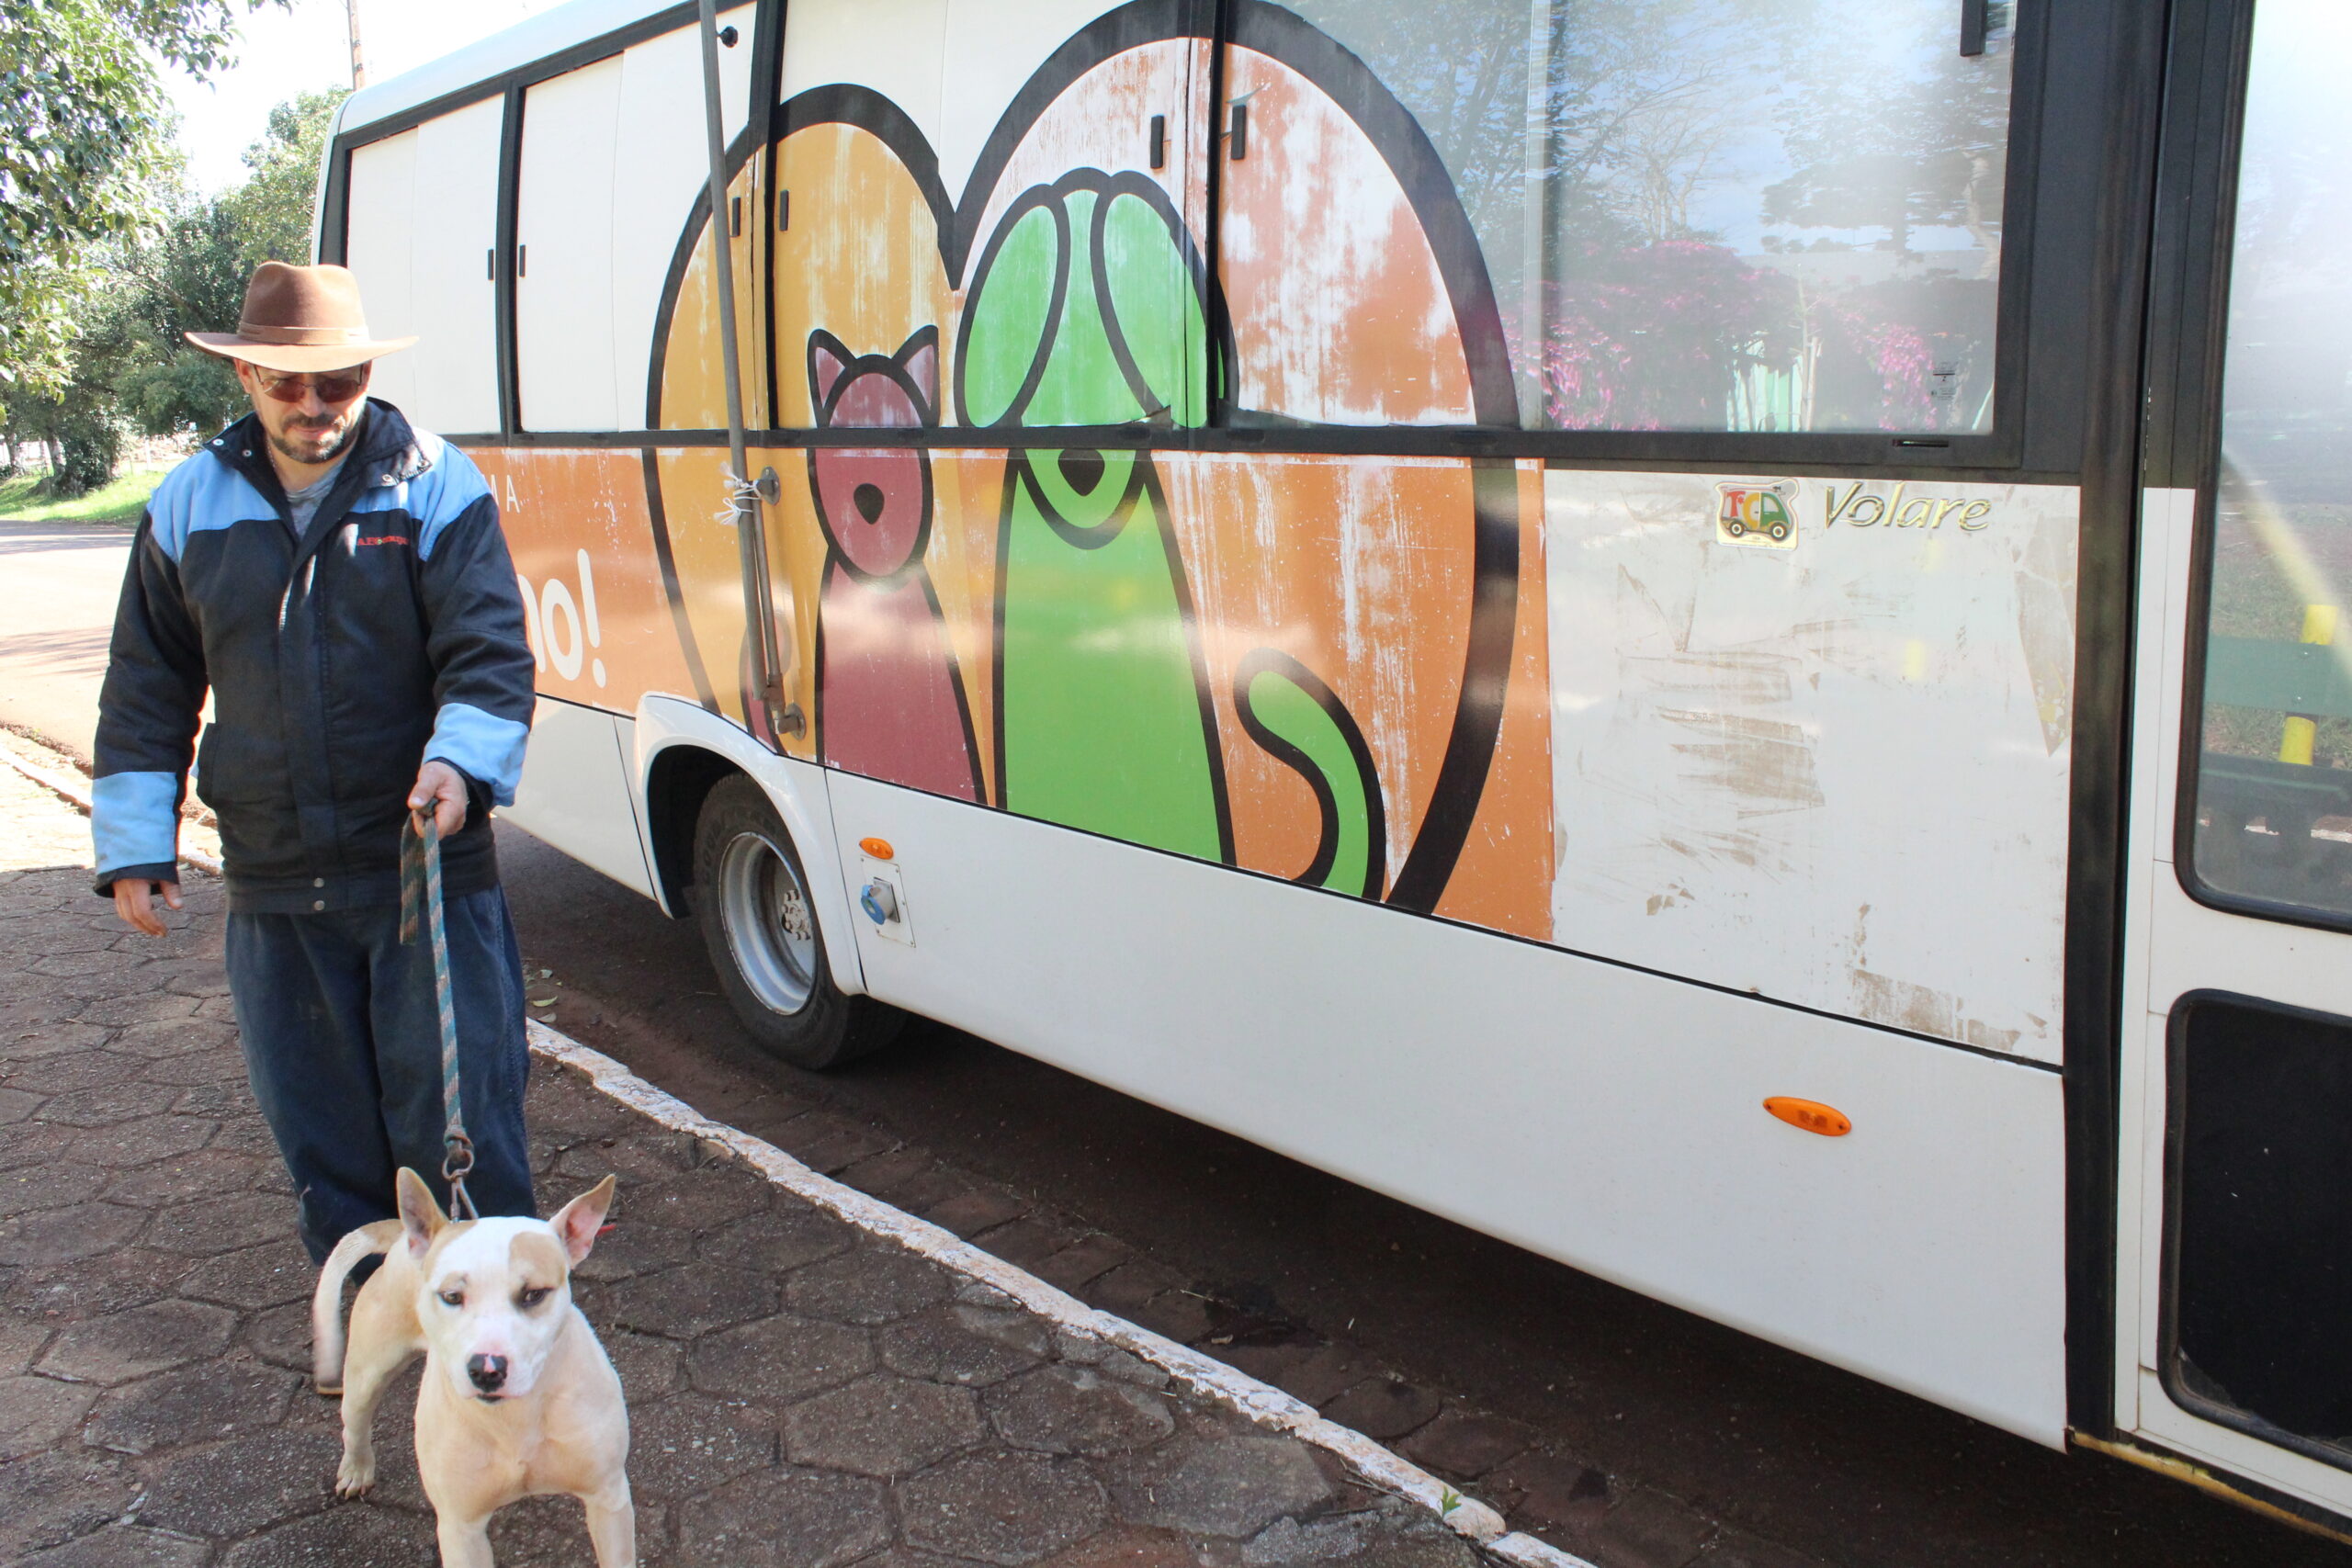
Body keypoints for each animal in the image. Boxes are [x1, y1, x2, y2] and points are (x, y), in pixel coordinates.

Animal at [322, 1170, 639, 1561]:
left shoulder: (608, 1500)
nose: (487, 1370)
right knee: (355, 1422)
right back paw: (356, 1469)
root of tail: (404, 1242)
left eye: (534, 1294)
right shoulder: (460, 1527)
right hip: (367, 1372)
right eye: (451, 1296)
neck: (516, 1416)